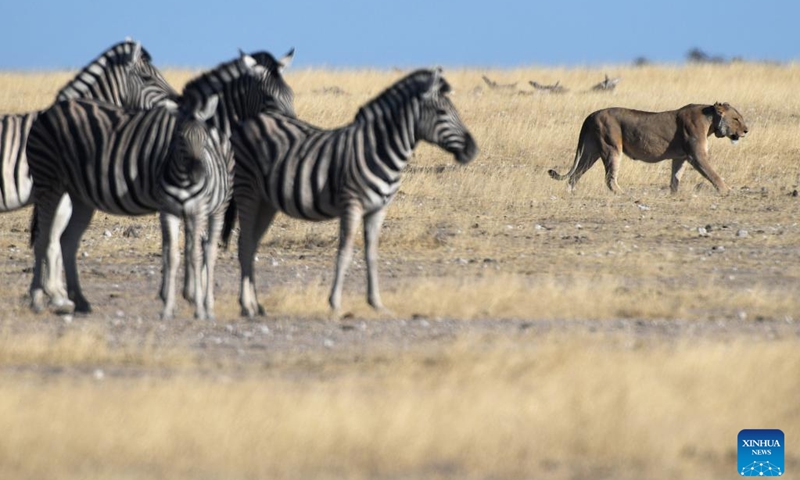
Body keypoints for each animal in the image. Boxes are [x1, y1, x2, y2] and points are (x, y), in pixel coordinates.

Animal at [25, 94, 231, 318]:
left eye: (206, 139)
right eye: (179, 139)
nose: (198, 174)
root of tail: (46, 112)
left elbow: (188, 248)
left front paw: (186, 296)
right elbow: (183, 249)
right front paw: (185, 298)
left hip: (80, 196)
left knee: (67, 240)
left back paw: (80, 300)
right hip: (48, 182)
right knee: (43, 239)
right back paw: (37, 299)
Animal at [222, 65, 478, 316]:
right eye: (442, 113)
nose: (473, 149)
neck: (378, 149)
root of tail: (249, 121)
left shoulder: (378, 210)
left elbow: (372, 255)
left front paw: (376, 303)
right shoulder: (351, 205)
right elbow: (344, 253)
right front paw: (335, 303)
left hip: (267, 201)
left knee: (253, 244)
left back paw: (257, 305)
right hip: (248, 191)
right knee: (244, 244)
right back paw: (246, 306)